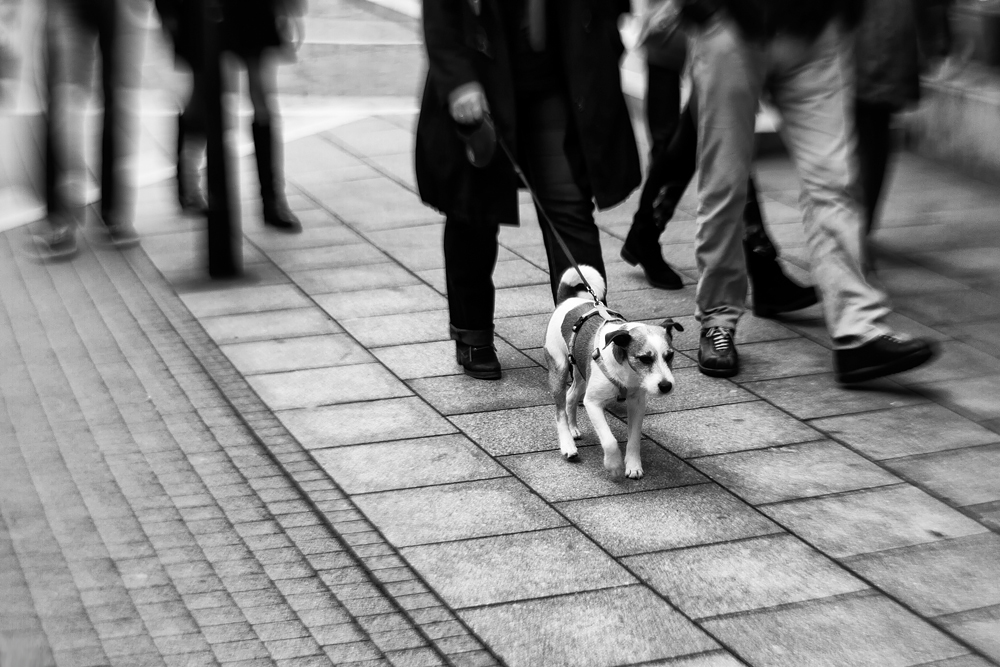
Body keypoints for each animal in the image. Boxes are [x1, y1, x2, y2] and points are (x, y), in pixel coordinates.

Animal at [544, 266, 684, 480]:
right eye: (645, 359)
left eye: (669, 356)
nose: (666, 386)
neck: (628, 374)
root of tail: (566, 301)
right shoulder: (593, 403)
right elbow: (609, 441)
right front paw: (614, 465)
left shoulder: (637, 403)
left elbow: (634, 439)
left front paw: (633, 465)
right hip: (558, 367)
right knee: (560, 410)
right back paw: (568, 445)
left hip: (581, 372)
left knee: (571, 395)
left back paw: (573, 428)